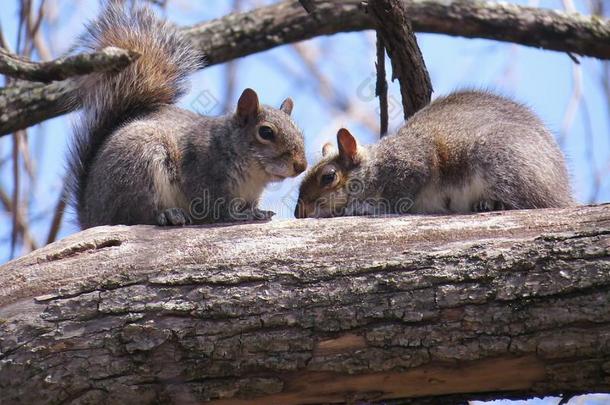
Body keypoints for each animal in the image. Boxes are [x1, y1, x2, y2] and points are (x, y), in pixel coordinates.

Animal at [67, 0, 306, 227]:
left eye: (300, 133)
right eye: (265, 132)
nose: (301, 166)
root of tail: (91, 216)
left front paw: (259, 211)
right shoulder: (202, 173)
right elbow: (216, 210)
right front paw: (242, 215)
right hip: (138, 167)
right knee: (135, 215)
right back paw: (168, 215)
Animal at [294, 91, 568, 218]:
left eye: (328, 177)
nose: (299, 212)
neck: (376, 166)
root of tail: (562, 192)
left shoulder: (413, 164)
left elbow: (396, 199)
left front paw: (362, 207)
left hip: (500, 156)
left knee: (529, 201)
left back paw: (491, 203)